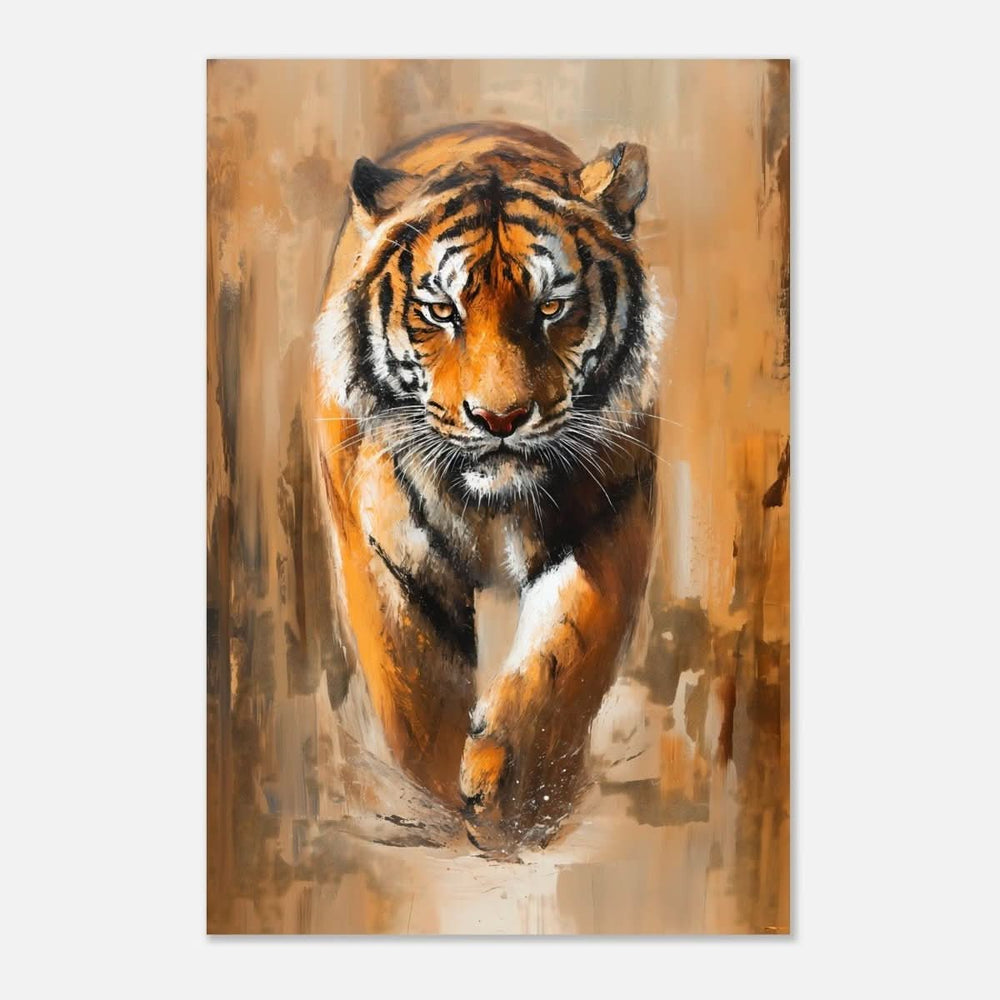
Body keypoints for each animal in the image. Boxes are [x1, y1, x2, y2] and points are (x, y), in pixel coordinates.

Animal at [312, 121, 665, 852]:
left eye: (552, 307)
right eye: (441, 311)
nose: (500, 419)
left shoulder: (610, 520)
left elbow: (563, 659)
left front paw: (514, 797)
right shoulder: (385, 552)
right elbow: (415, 690)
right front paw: (447, 799)